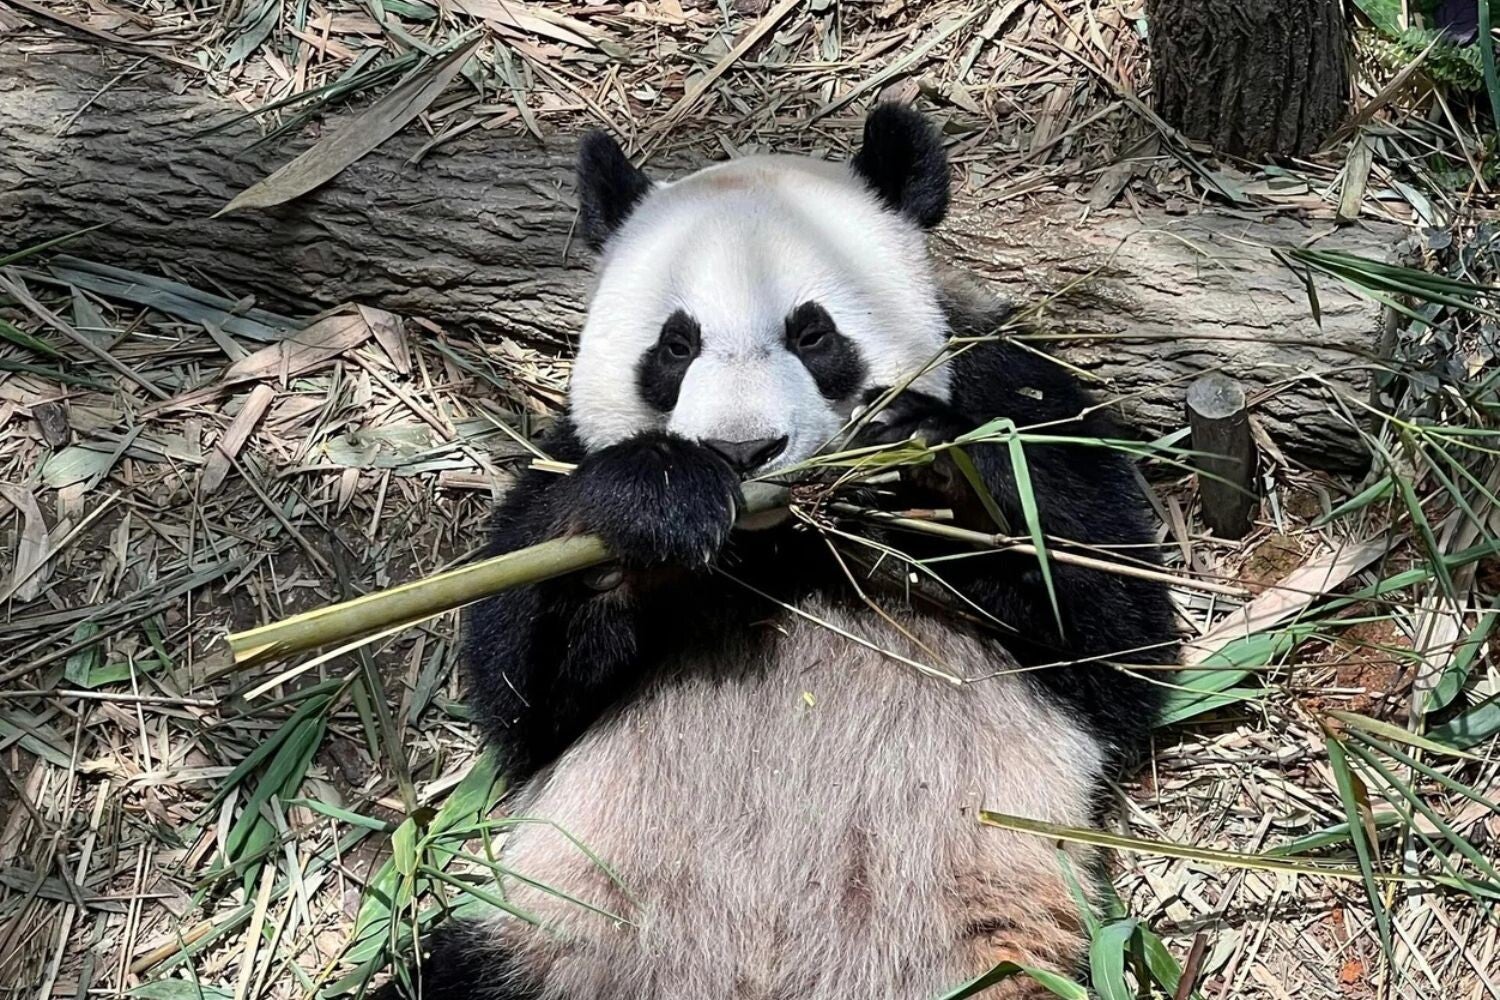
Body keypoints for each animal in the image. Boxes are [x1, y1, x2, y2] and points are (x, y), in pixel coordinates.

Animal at [397, 105, 1178, 1000]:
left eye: (812, 333)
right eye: (675, 346)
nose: (744, 451)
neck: (780, 548)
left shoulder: (1014, 388)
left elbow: (1114, 630)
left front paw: (924, 467)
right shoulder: (562, 460)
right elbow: (521, 690)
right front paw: (659, 502)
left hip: (998, 943)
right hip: (558, 941)